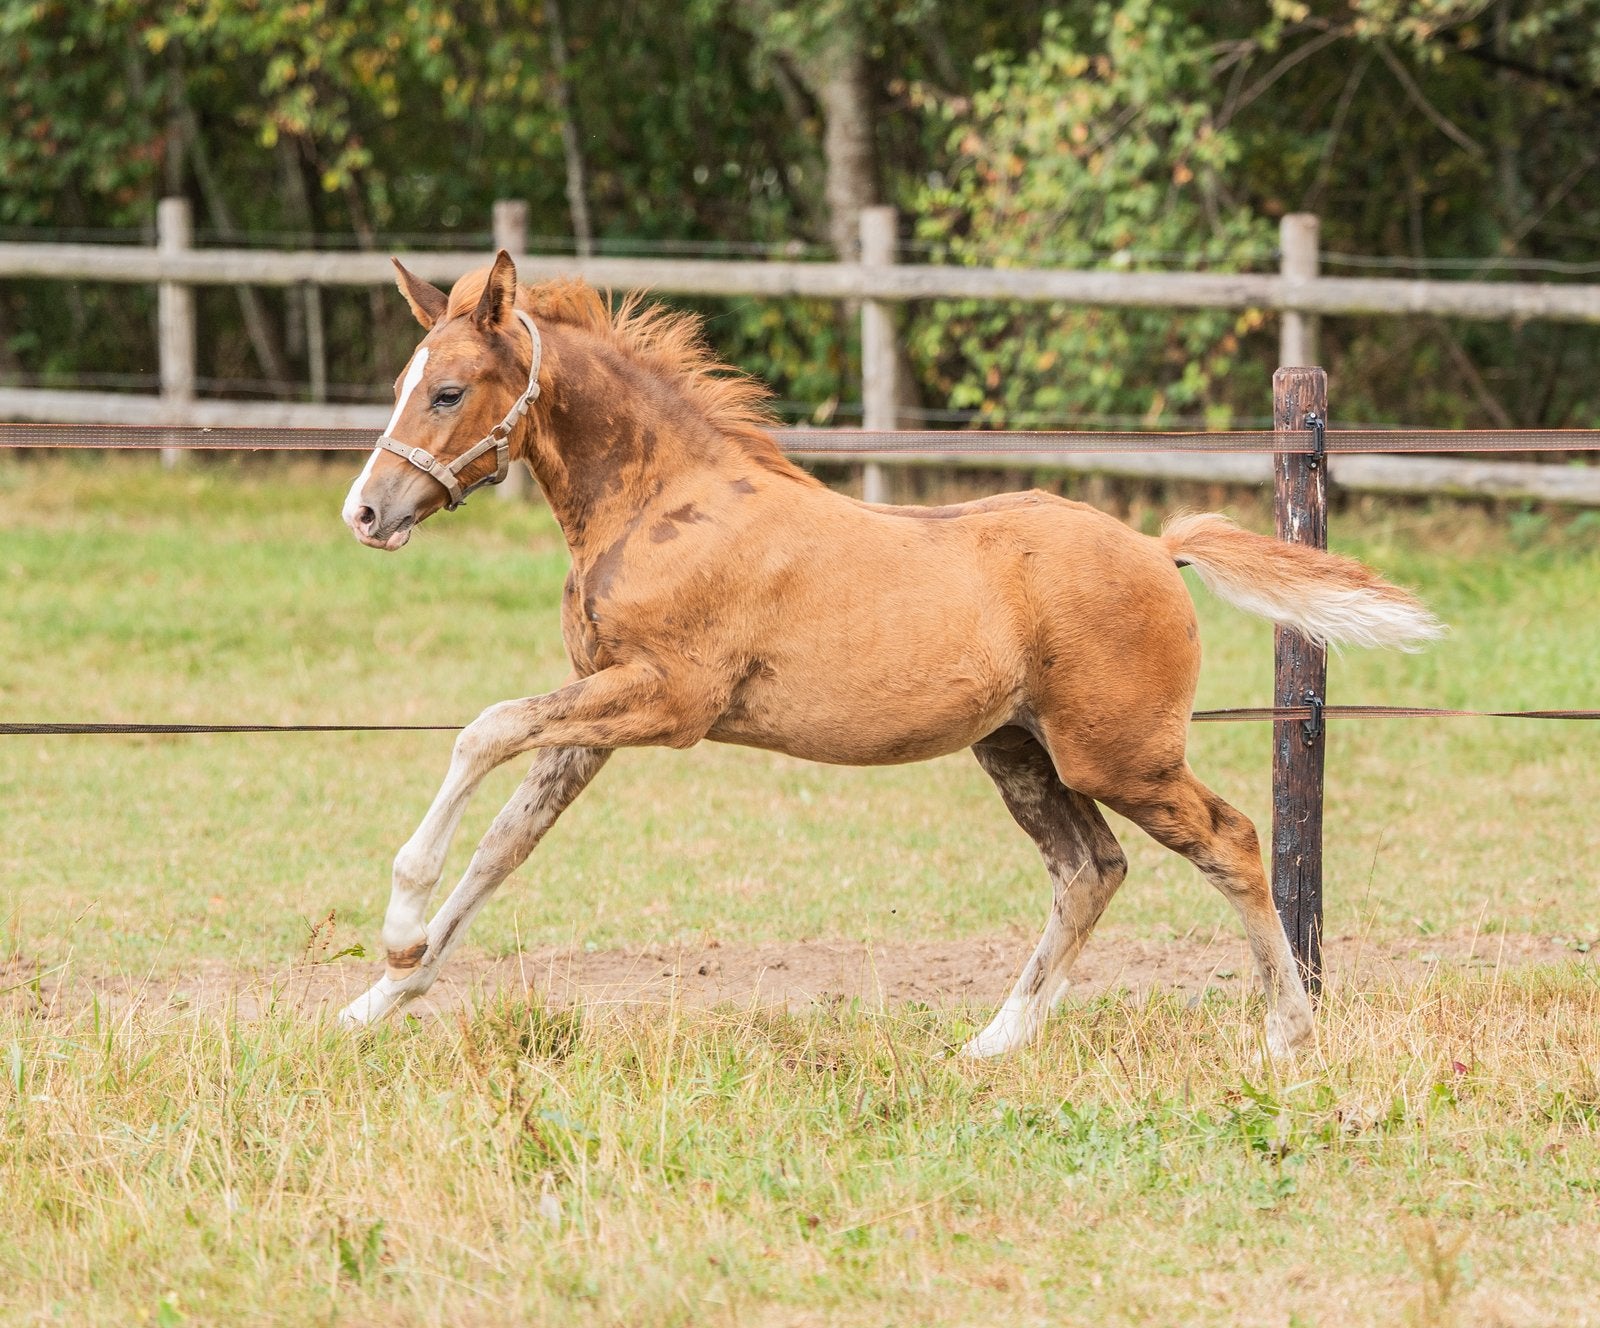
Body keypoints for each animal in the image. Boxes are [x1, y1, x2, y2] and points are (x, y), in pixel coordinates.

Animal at [336, 250, 1443, 1058]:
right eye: (400, 383)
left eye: (446, 391)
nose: (366, 512)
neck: (663, 504)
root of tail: (1155, 545)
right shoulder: (600, 704)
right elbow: (505, 844)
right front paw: (380, 997)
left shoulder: (667, 700)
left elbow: (482, 734)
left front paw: (396, 923)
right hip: (1018, 749)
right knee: (1089, 869)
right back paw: (994, 1042)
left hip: (1118, 754)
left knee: (1232, 841)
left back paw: (1287, 1033)